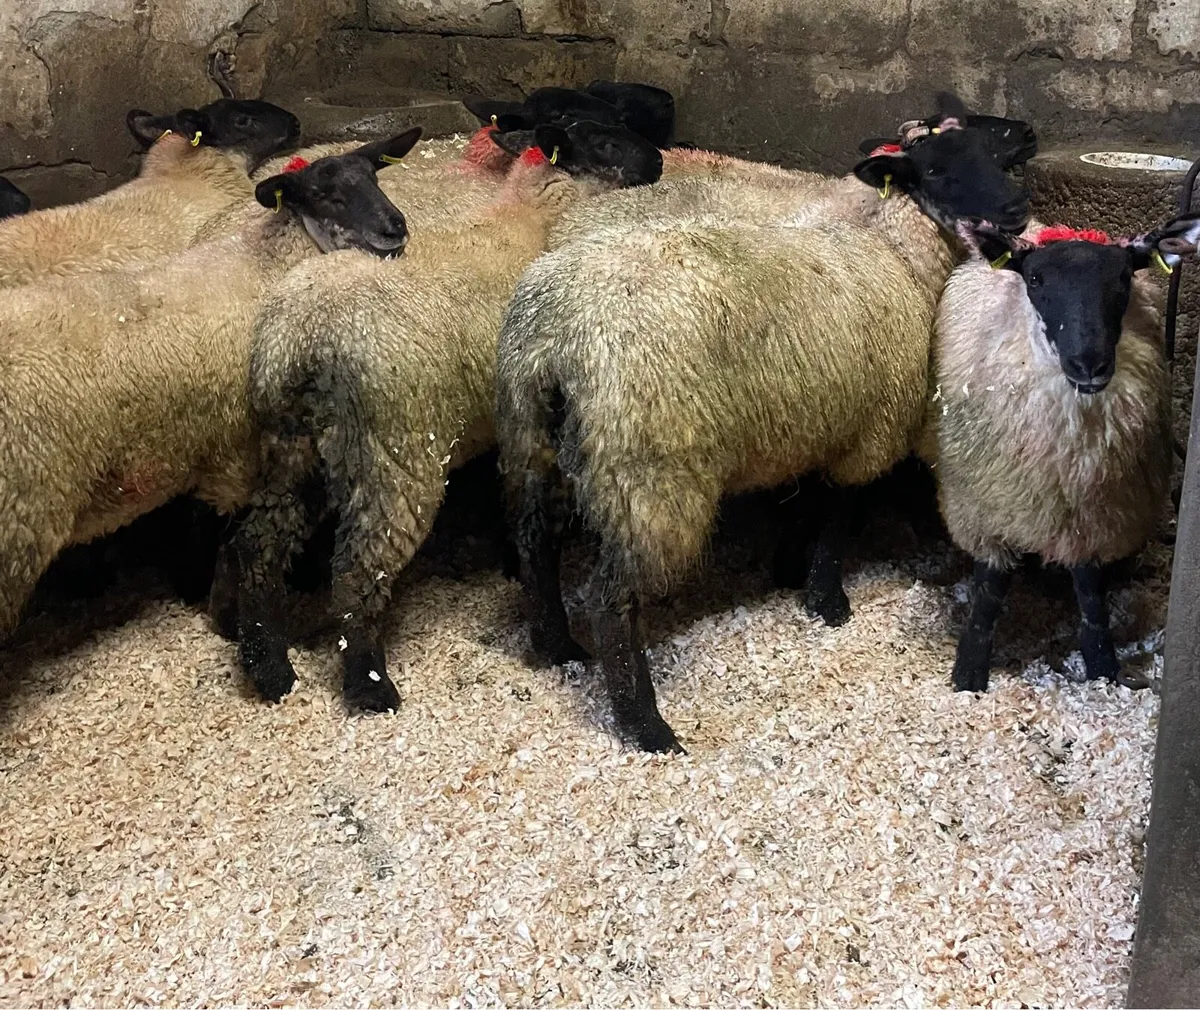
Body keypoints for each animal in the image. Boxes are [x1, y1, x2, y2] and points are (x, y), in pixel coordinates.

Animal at [0, 131, 422, 638]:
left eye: (374, 177)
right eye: (325, 194)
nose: (395, 228)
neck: (265, 264)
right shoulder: (236, 455)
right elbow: (224, 539)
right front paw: (223, 612)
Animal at [229, 121, 664, 714]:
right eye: (605, 142)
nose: (660, 159)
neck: (531, 217)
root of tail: (304, 337)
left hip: (291, 445)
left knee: (258, 546)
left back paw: (269, 668)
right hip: (395, 454)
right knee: (357, 570)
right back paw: (370, 686)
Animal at [495, 110, 1030, 753]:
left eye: (993, 155)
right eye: (939, 171)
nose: (1017, 210)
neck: (893, 249)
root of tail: (558, 342)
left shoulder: (809, 424)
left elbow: (802, 509)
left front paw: (789, 571)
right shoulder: (867, 431)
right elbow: (840, 516)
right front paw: (827, 601)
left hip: (532, 445)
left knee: (535, 544)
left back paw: (556, 648)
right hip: (647, 476)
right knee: (611, 600)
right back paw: (647, 726)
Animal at [921, 215, 1200, 693]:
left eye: (1124, 277)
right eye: (1035, 279)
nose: (1089, 364)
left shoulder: (1092, 519)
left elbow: (1090, 596)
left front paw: (1103, 669)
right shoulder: (986, 512)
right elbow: (988, 594)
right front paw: (969, 674)